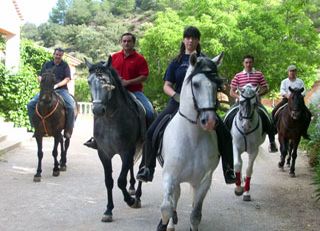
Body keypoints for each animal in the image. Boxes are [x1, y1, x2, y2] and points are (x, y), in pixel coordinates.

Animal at [86, 56, 144, 222]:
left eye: (106, 81)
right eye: (89, 81)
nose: (98, 110)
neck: (110, 120)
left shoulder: (126, 151)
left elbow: (120, 181)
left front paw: (130, 200)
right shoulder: (104, 154)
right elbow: (109, 182)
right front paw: (108, 210)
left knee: (141, 168)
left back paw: (137, 196)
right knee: (131, 167)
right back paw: (132, 189)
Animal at [158, 52, 224, 231]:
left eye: (217, 86)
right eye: (196, 84)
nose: (209, 121)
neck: (192, 138)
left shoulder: (204, 181)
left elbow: (195, 216)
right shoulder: (169, 176)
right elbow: (166, 208)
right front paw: (166, 224)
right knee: (174, 199)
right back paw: (171, 224)